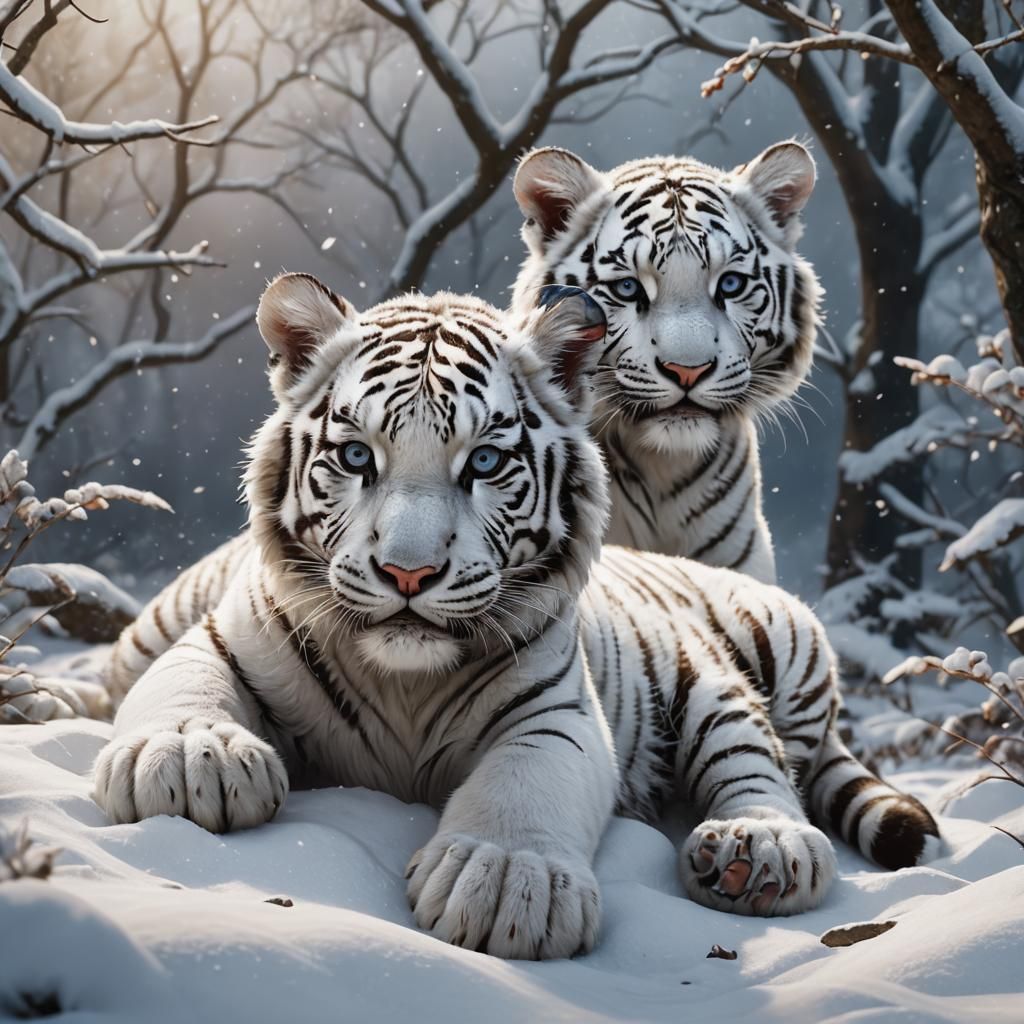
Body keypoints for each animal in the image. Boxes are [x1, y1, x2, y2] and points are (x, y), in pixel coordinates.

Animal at [95, 273, 938, 960]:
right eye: (358, 457)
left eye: (485, 462)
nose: (408, 572)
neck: (404, 682)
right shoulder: (218, 640)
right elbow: (185, 686)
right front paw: (189, 755)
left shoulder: (557, 711)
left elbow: (524, 783)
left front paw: (505, 878)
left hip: (731, 679)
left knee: (757, 766)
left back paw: (754, 851)